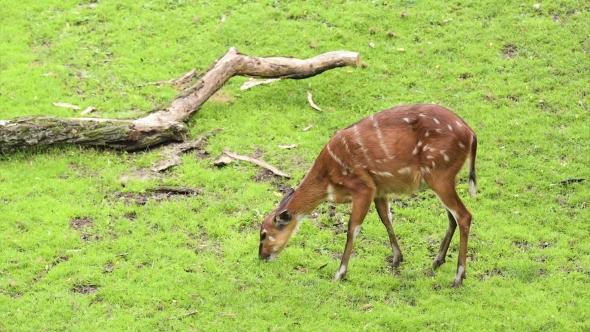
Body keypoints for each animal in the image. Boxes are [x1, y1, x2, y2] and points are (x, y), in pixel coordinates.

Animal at [262, 104, 478, 288]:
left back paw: (458, 278)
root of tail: (471, 134)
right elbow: (386, 219)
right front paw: (397, 259)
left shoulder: (363, 187)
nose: (261, 256)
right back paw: (437, 261)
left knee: (464, 215)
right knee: (452, 217)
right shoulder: (379, 190)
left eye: (263, 234)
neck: (328, 177)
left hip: (440, 175)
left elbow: (352, 228)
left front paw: (339, 274)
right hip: (443, 178)